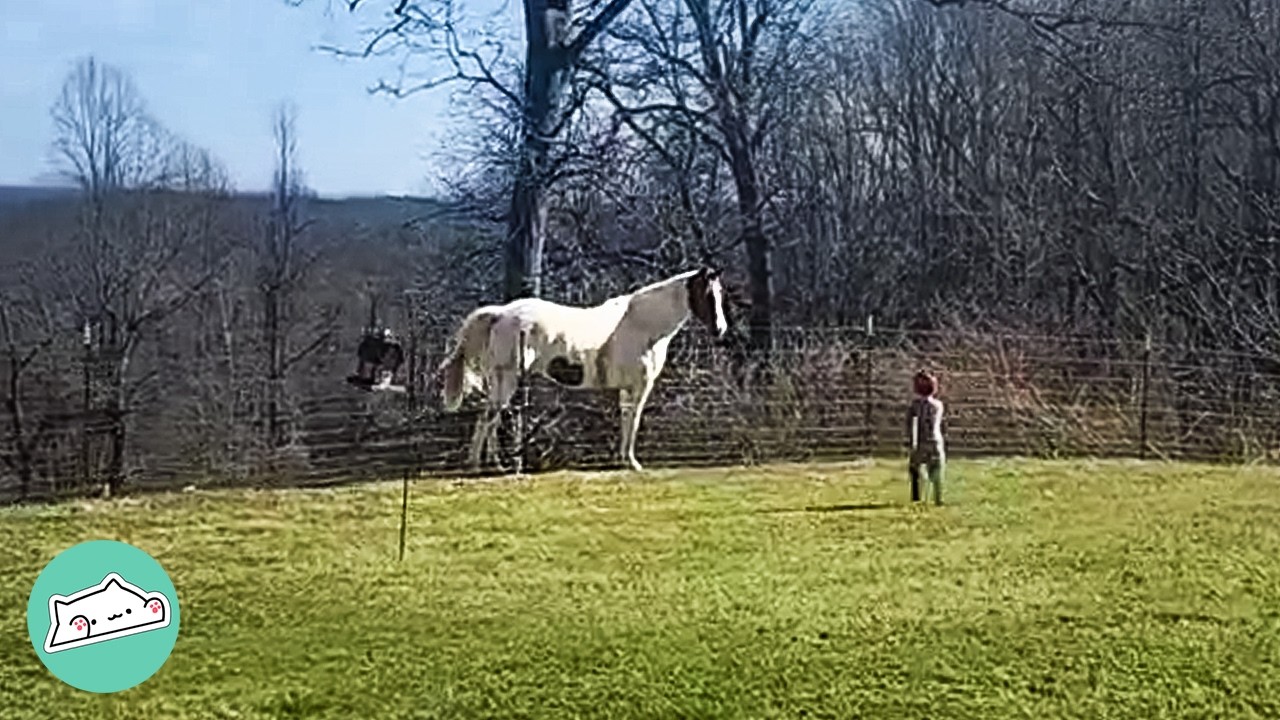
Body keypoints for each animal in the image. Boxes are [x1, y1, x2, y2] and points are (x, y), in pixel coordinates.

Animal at [437, 267, 729, 472]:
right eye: (707, 294)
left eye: (720, 294)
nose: (721, 329)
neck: (642, 324)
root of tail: (499, 314)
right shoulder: (640, 386)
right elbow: (634, 421)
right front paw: (632, 463)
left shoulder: (626, 389)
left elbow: (625, 420)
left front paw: (621, 461)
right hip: (506, 380)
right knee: (488, 418)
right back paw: (481, 465)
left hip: (499, 382)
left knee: (492, 419)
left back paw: (495, 465)